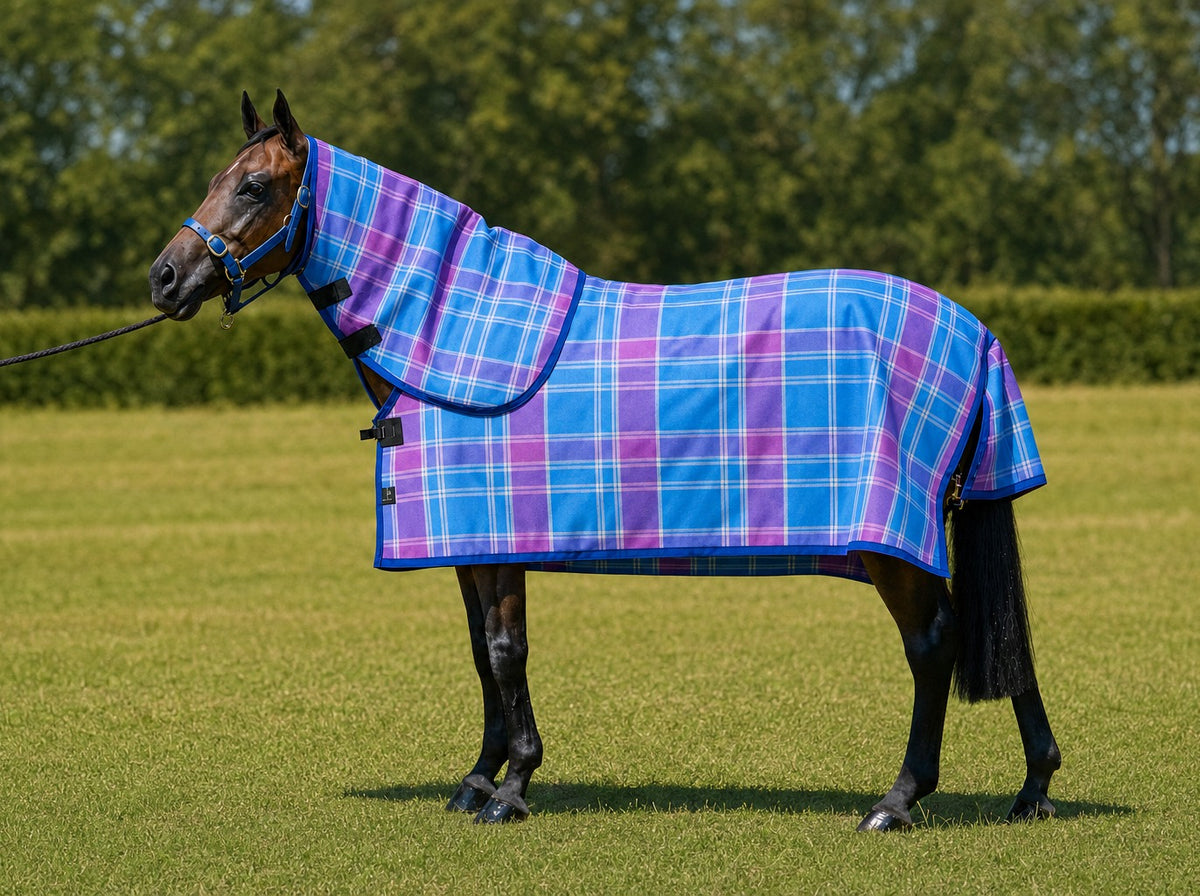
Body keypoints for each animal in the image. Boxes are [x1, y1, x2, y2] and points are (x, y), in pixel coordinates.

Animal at [149, 91, 1061, 830]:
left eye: (255, 187)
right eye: (218, 178)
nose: (164, 278)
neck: (450, 335)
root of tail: (974, 331)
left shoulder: (499, 542)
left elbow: (507, 651)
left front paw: (512, 789)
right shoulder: (470, 545)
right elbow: (480, 653)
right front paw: (476, 781)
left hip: (890, 545)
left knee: (935, 644)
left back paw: (898, 801)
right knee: (995, 635)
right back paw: (1034, 788)